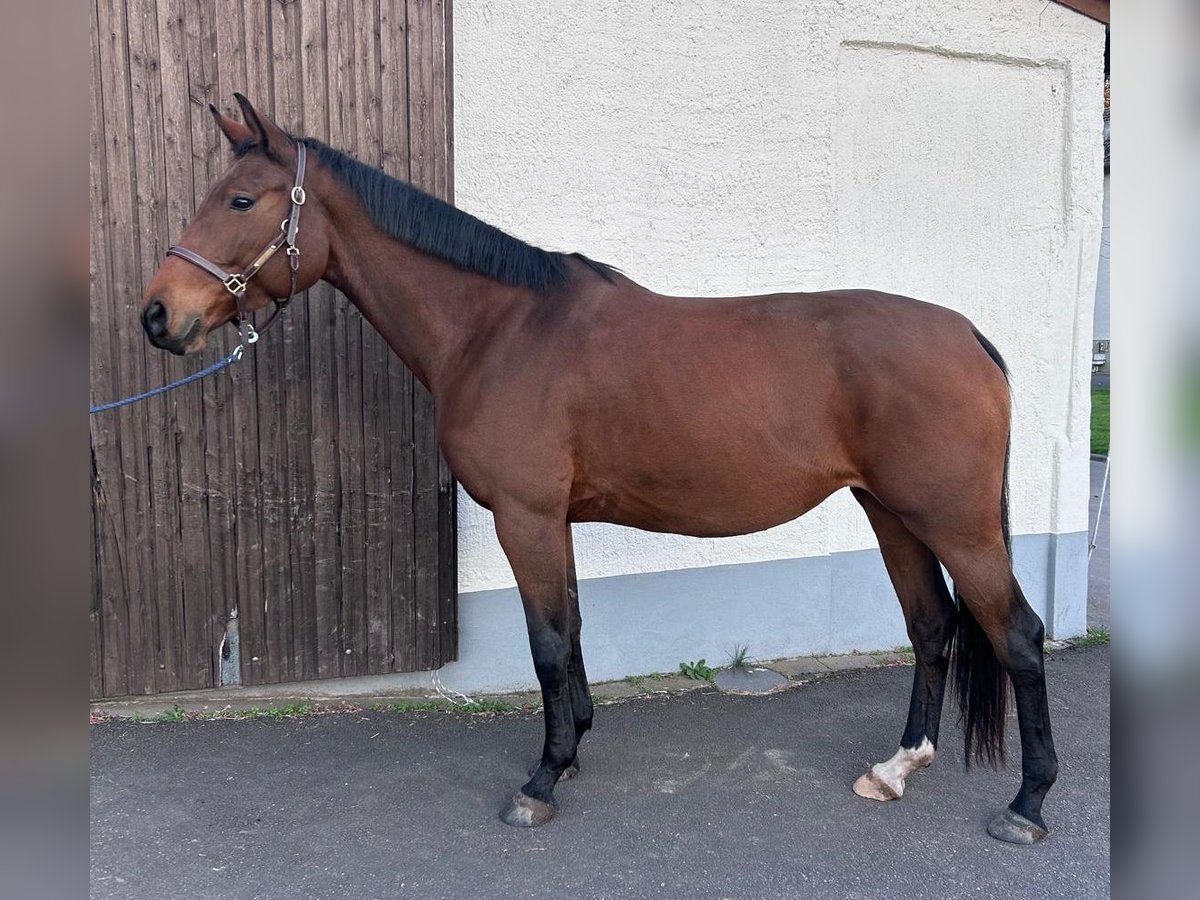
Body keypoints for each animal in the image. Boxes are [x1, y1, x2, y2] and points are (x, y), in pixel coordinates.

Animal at [142, 97, 1060, 844]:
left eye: (241, 199)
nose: (159, 315)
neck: (499, 328)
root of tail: (969, 337)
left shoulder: (525, 516)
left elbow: (548, 642)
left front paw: (541, 781)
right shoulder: (556, 520)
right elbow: (574, 628)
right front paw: (574, 746)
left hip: (955, 524)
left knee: (1017, 634)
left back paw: (1026, 805)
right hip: (891, 513)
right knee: (932, 626)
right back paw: (896, 768)